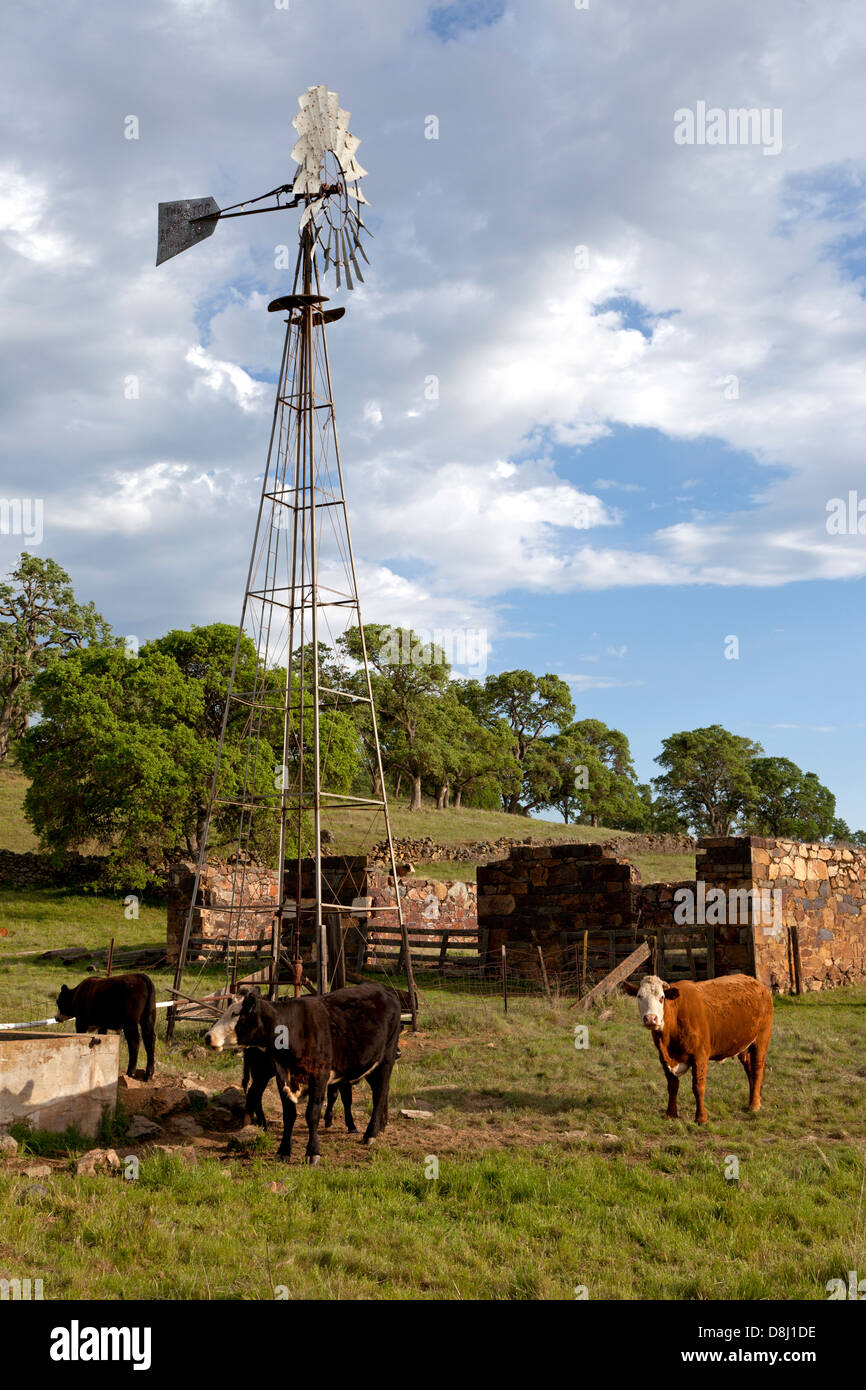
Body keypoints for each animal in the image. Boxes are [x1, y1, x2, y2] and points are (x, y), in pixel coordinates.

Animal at [202, 995, 355, 1134]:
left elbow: (334, 1094)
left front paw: (329, 1119)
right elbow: (345, 1097)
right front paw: (350, 1125)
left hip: (261, 1073)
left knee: (254, 1093)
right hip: (262, 1072)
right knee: (254, 1093)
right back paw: (261, 1124)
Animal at [631, 973, 772, 1123]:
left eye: (662, 997)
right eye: (639, 996)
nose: (650, 1018)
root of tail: (757, 983)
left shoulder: (700, 1055)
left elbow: (698, 1087)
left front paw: (701, 1118)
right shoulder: (663, 1058)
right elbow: (672, 1086)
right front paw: (670, 1114)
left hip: (761, 1039)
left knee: (757, 1069)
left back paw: (755, 1105)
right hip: (745, 1045)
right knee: (749, 1069)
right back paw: (752, 1100)